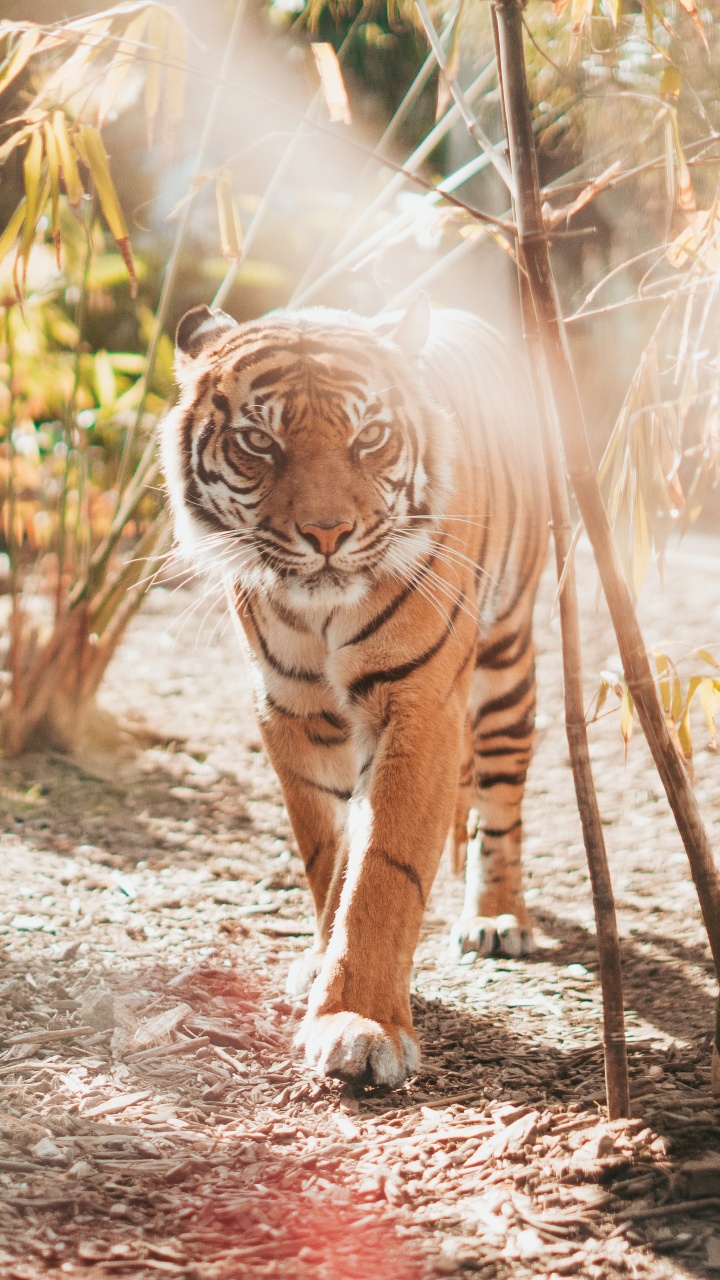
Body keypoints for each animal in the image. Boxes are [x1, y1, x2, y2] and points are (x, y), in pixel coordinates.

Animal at [161, 294, 543, 1085]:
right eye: (259, 441)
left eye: (369, 438)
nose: (328, 533)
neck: (320, 613)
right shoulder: (290, 711)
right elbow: (328, 854)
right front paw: (320, 963)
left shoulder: (420, 705)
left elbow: (383, 870)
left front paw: (360, 1024)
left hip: (506, 666)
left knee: (501, 802)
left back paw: (497, 917)